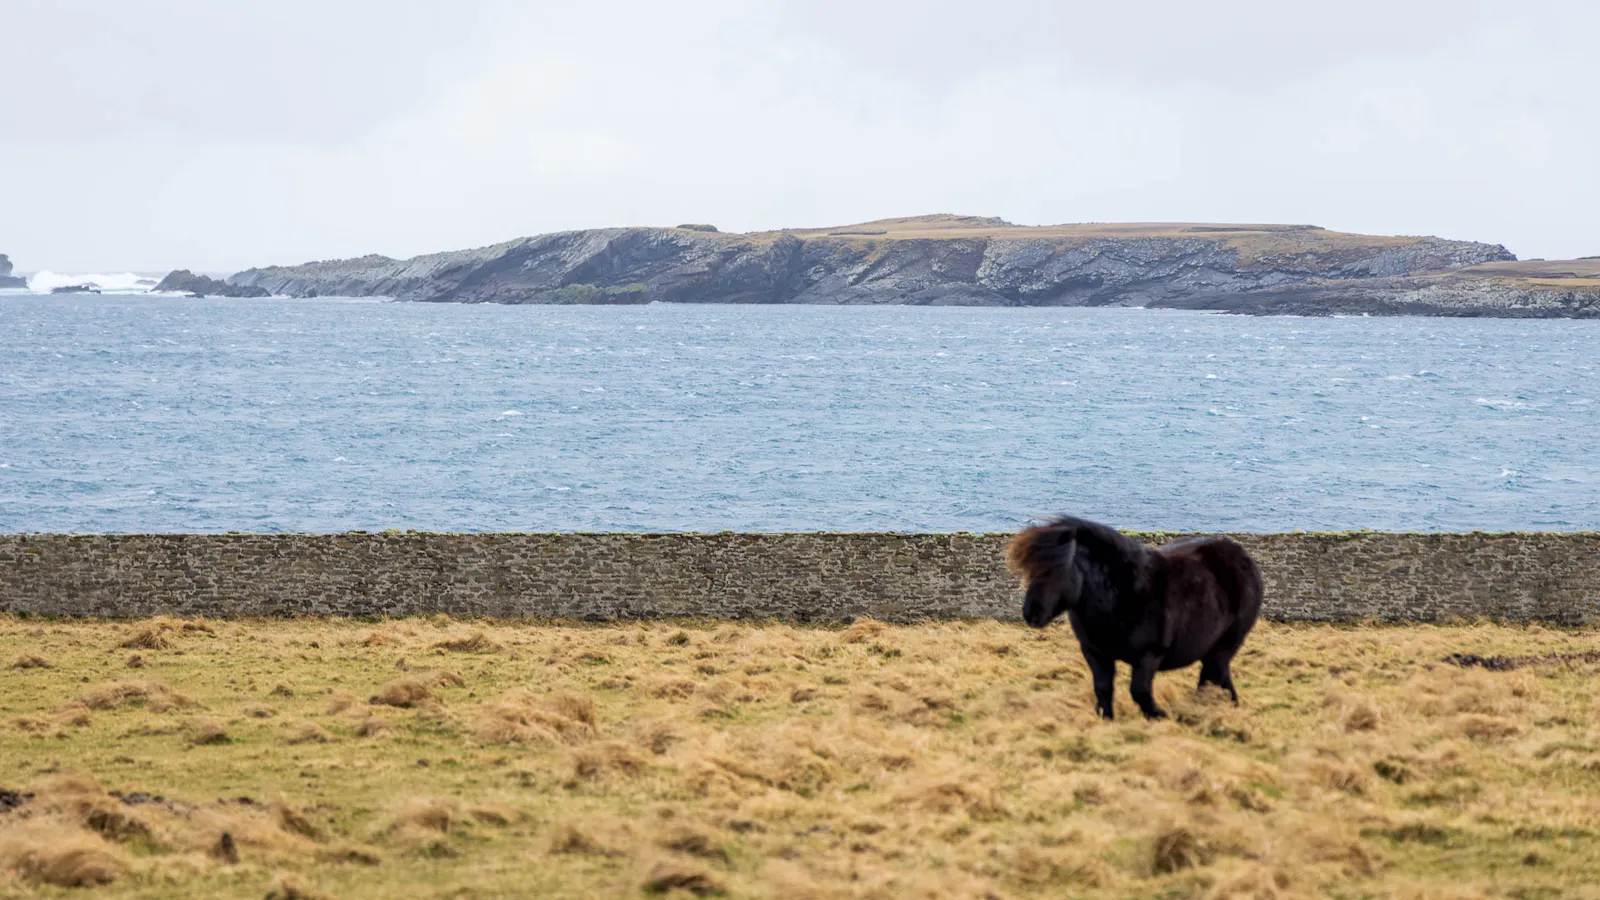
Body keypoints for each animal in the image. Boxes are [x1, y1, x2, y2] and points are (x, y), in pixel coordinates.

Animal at [1006, 516, 1262, 720]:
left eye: (1053, 570)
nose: (1031, 614)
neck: (1121, 594)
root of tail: (1243, 557)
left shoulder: (1148, 657)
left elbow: (1139, 692)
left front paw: (1160, 717)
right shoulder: (1095, 653)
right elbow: (1103, 689)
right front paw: (1107, 720)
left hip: (1226, 643)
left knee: (1214, 674)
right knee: (1216, 678)